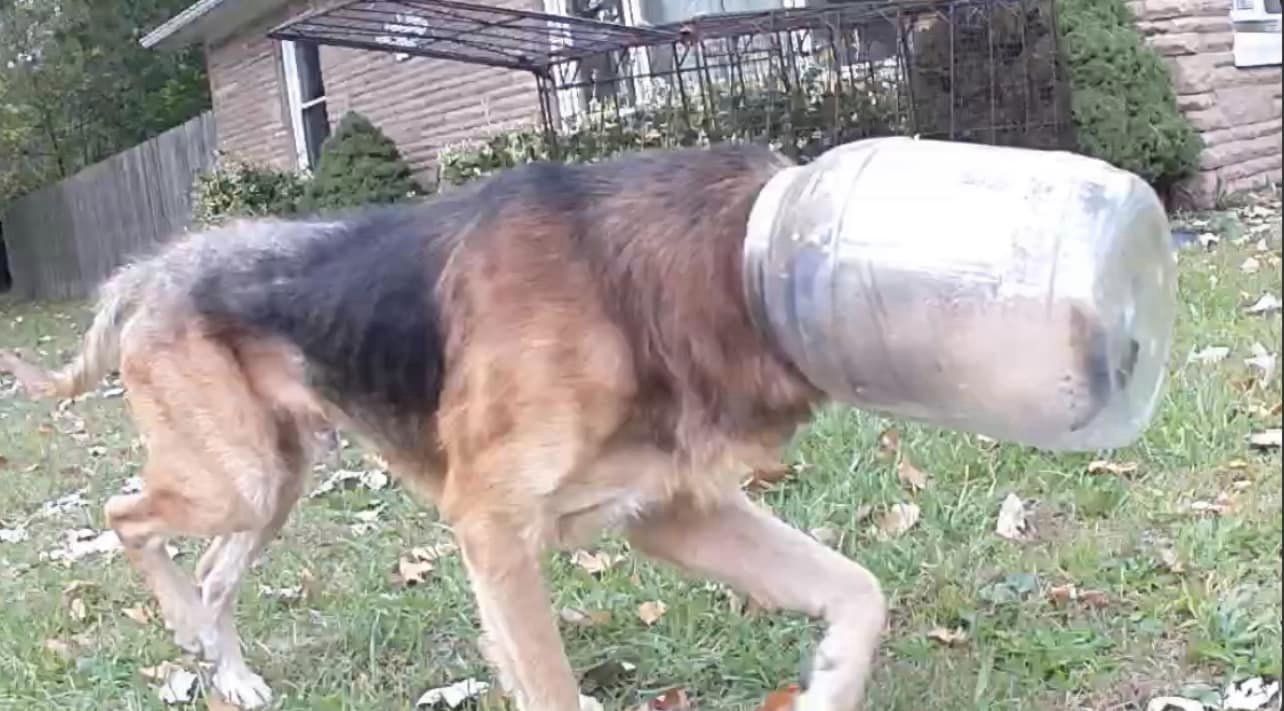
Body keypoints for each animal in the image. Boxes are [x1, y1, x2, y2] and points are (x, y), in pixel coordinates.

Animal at [2, 143, 883, 708]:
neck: (622, 284)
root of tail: (155, 266)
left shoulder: (670, 510)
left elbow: (860, 592)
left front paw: (829, 681)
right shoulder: (493, 530)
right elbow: (552, 687)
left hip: (273, 480)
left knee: (215, 570)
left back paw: (235, 678)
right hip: (237, 480)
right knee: (125, 515)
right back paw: (186, 624)